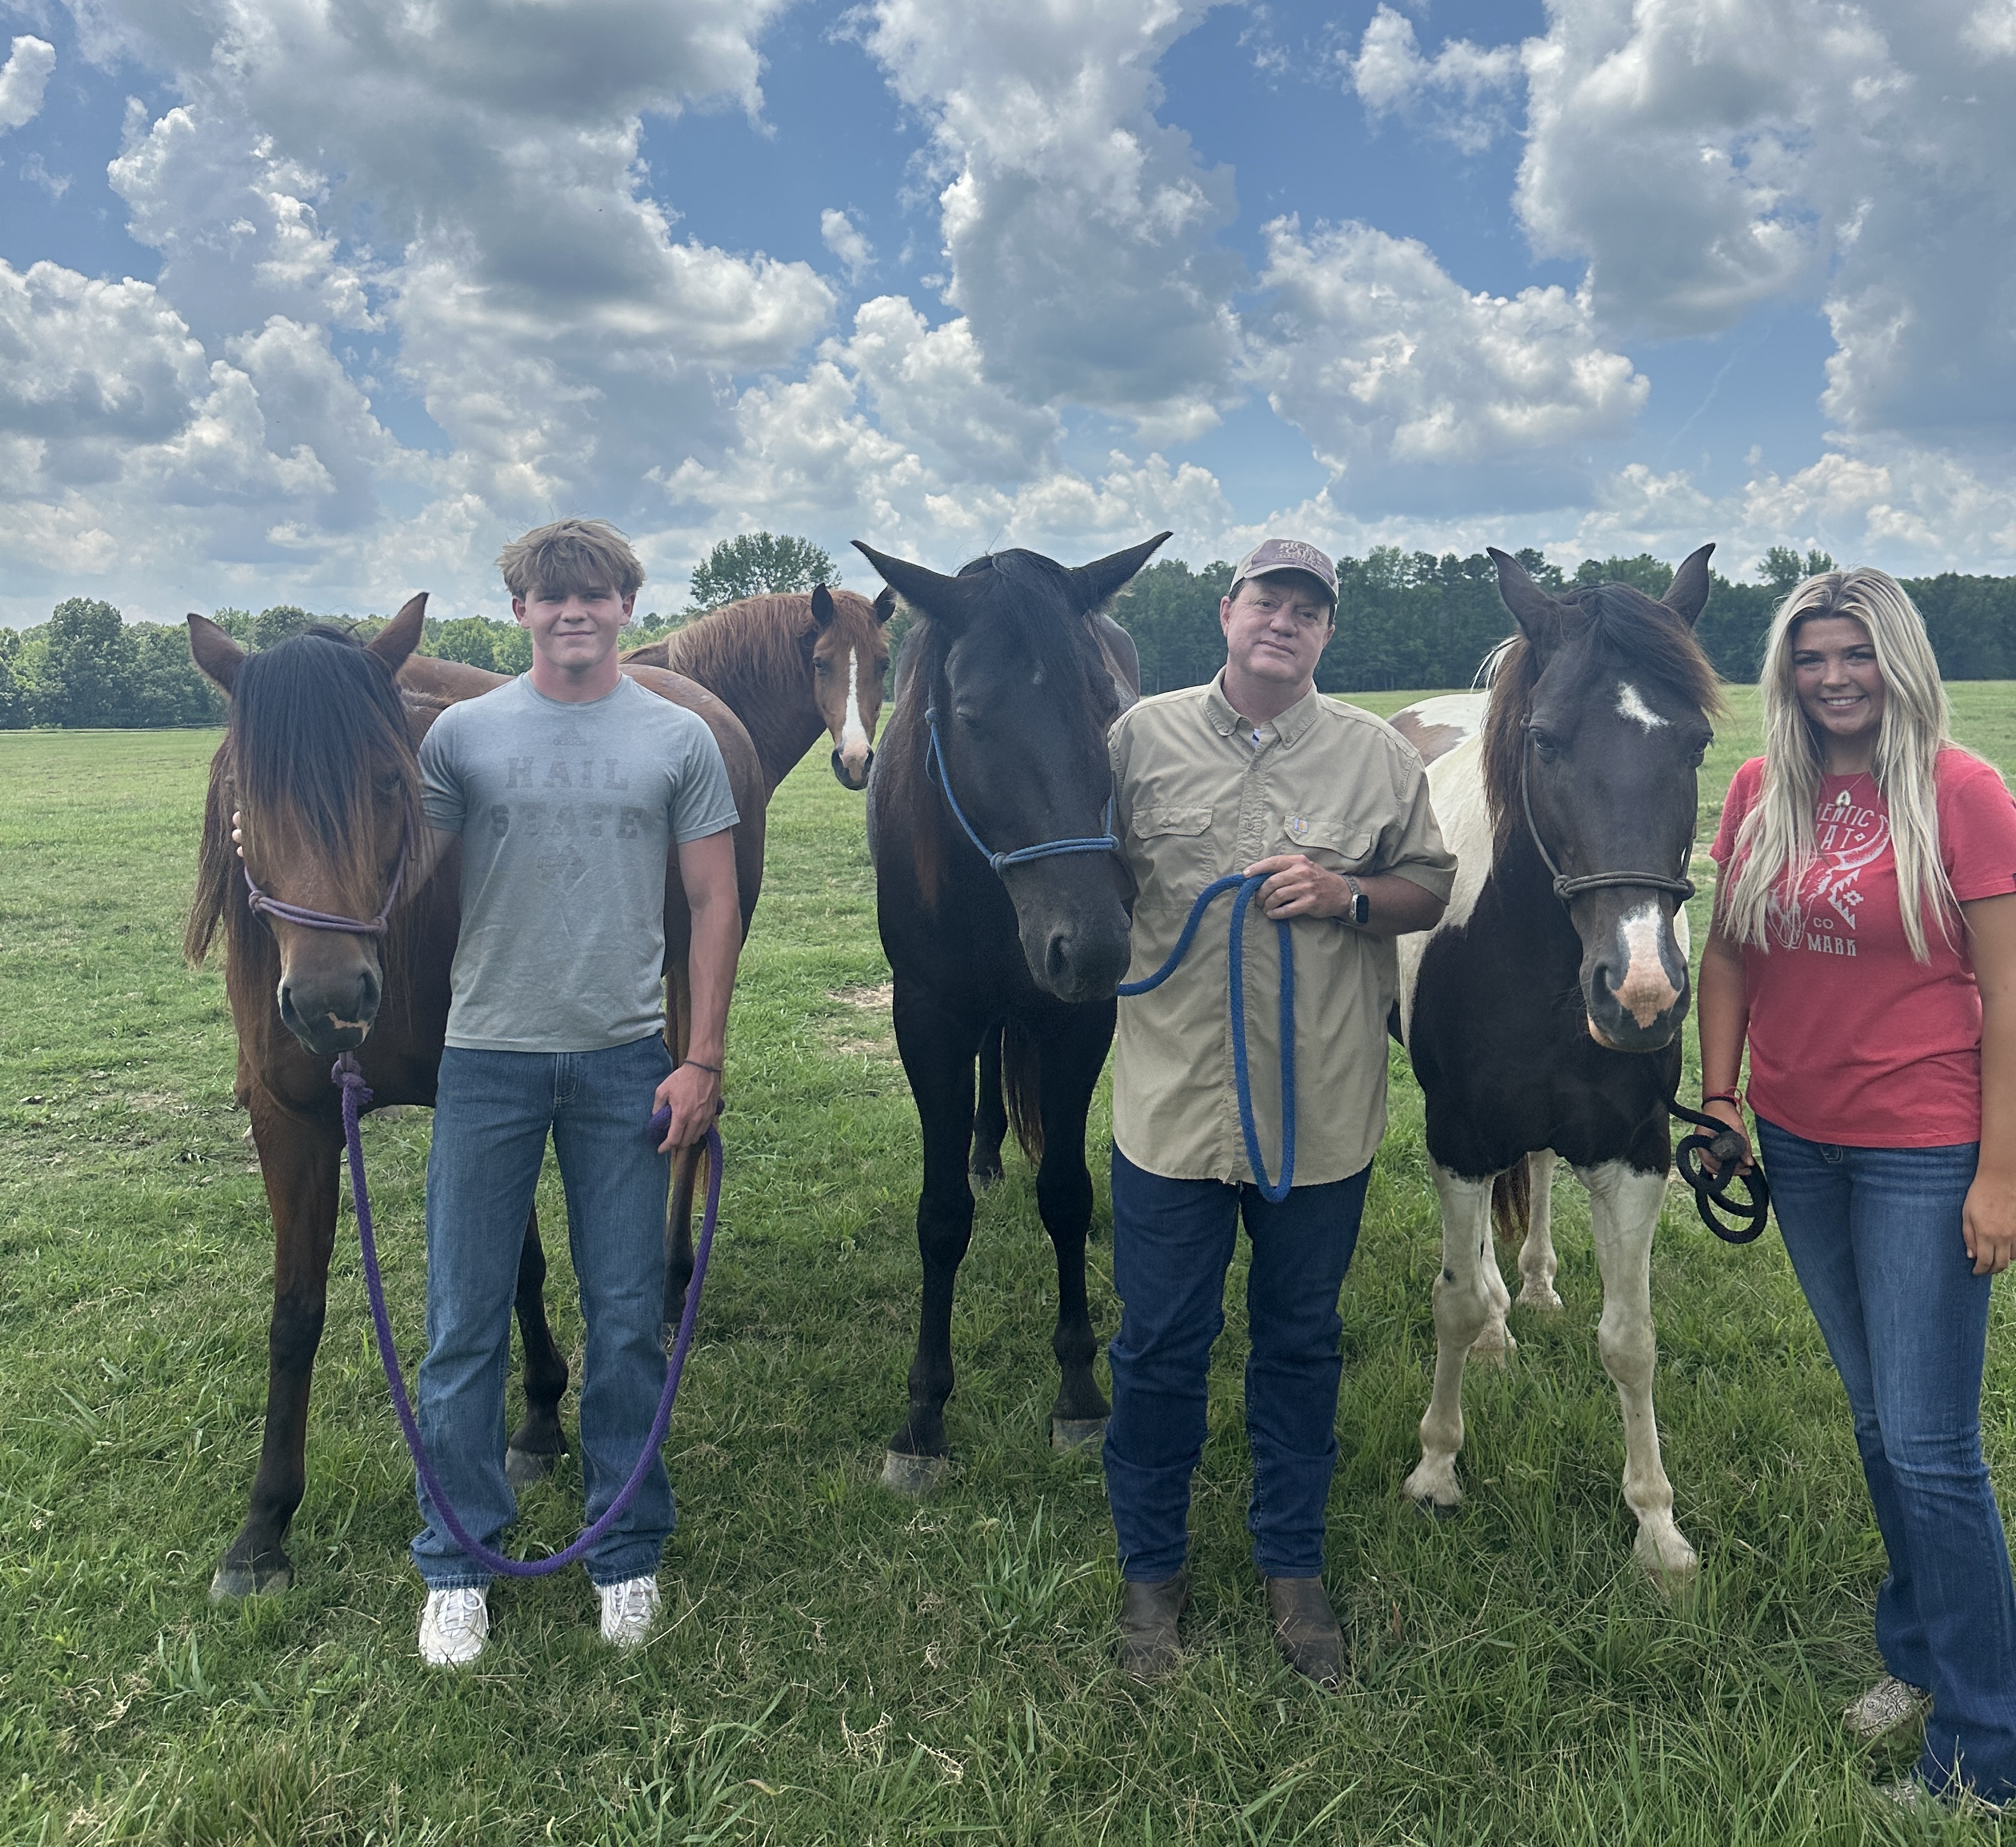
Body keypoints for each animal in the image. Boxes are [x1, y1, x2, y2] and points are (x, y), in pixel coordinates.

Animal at [186, 598, 766, 1598]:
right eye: (246, 801)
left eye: (390, 782)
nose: (332, 998)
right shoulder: (289, 1120)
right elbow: (294, 1314)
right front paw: (262, 1529)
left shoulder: (487, 1080)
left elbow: (520, 1269)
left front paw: (537, 1420)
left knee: (691, 1121)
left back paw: (670, 1283)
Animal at [853, 533, 1166, 1493]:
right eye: (975, 714)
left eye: (1109, 707)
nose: (1093, 944)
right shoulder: (926, 1019)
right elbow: (940, 1215)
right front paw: (923, 1415)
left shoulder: (1078, 1021)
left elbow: (1065, 1192)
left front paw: (1079, 1392)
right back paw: (985, 1150)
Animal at [1393, 545, 1721, 1581]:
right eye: (1544, 739)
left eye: (1696, 742)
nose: (1643, 992)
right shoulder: (1456, 1136)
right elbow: (1454, 1305)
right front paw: (1437, 1470)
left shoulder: (1635, 1150)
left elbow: (1632, 1339)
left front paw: (1656, 1523)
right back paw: (1503, 1315)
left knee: (1534, 1170)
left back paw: (1532, 1286)